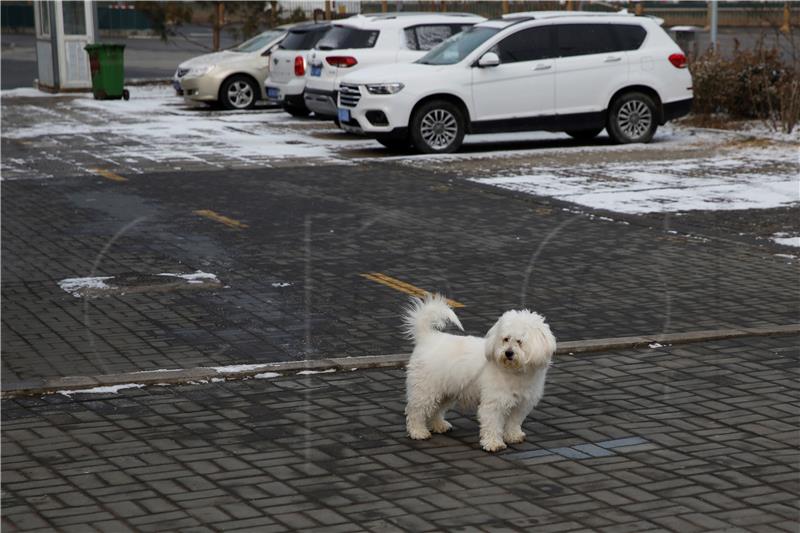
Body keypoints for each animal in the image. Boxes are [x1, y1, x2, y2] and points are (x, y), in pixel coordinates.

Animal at [404, 294, 552, 450]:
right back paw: (418, 432)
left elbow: (513, 422)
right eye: (506, 339)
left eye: (519, 341)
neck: (515, 372)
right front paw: (493, 444)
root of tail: (428, 337)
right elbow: (492, 424)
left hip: (446, 391)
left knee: (436, 409)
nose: (508, 353)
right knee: (416, 411)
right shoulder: (494, 403)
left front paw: (513, 436)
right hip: (425, 390)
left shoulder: (521, 404)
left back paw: (439, 425)